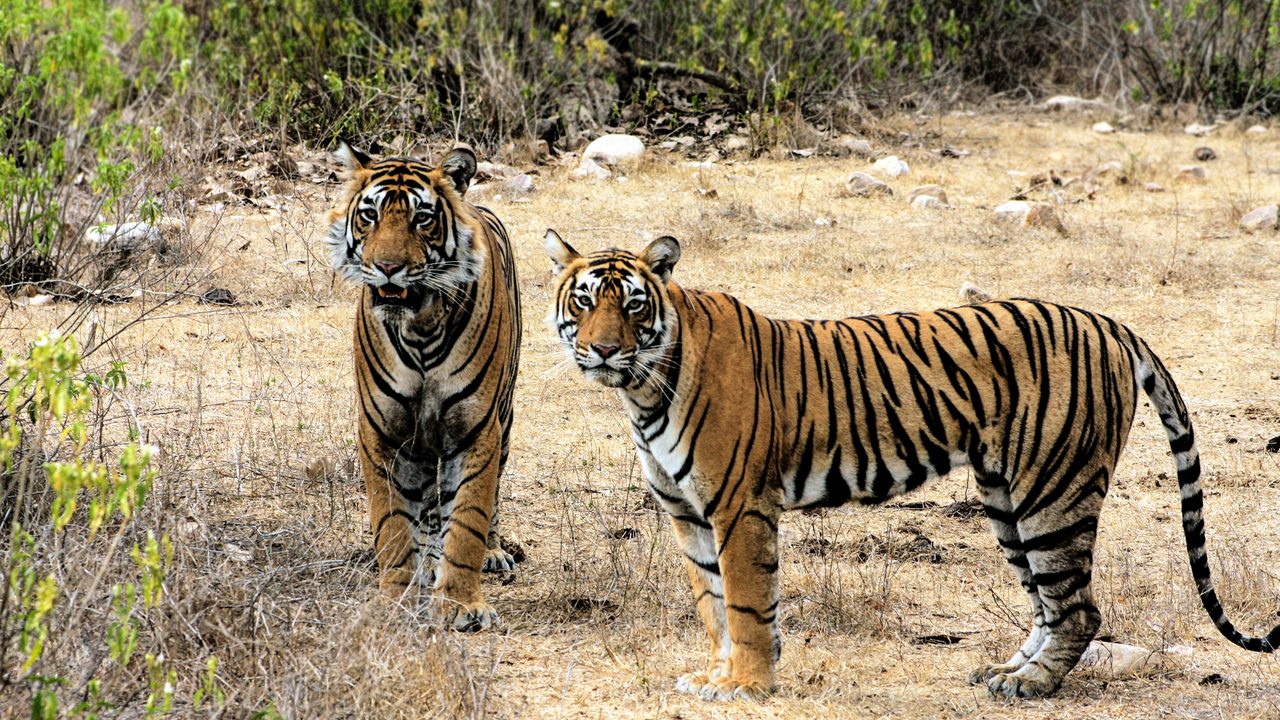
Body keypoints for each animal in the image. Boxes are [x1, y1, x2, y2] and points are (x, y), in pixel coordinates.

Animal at [325, 142, 521, 630]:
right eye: (370, 215)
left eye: (423, 218)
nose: (388, 268)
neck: (421, 328)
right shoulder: (382, 433)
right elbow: (393, 524)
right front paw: (394, 600)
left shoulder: (476, 431)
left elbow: (468, 518)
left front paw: (462, 605)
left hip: (504, 419)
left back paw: (492, 554)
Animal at [543, 230, 1280, 700]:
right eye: (583, 302)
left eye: (632, 303)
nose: (603, 350)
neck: (643, 390)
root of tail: (1106, 320)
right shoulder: (687, 511)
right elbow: (714, 603)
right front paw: (718, 674)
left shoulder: (739, 504)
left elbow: (747, 602)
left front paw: (747, 686)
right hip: (1006, 498)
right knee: (1048, 603)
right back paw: (1003, 672)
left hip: (1053, 491)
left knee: (1078, 608)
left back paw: (1031, 686)